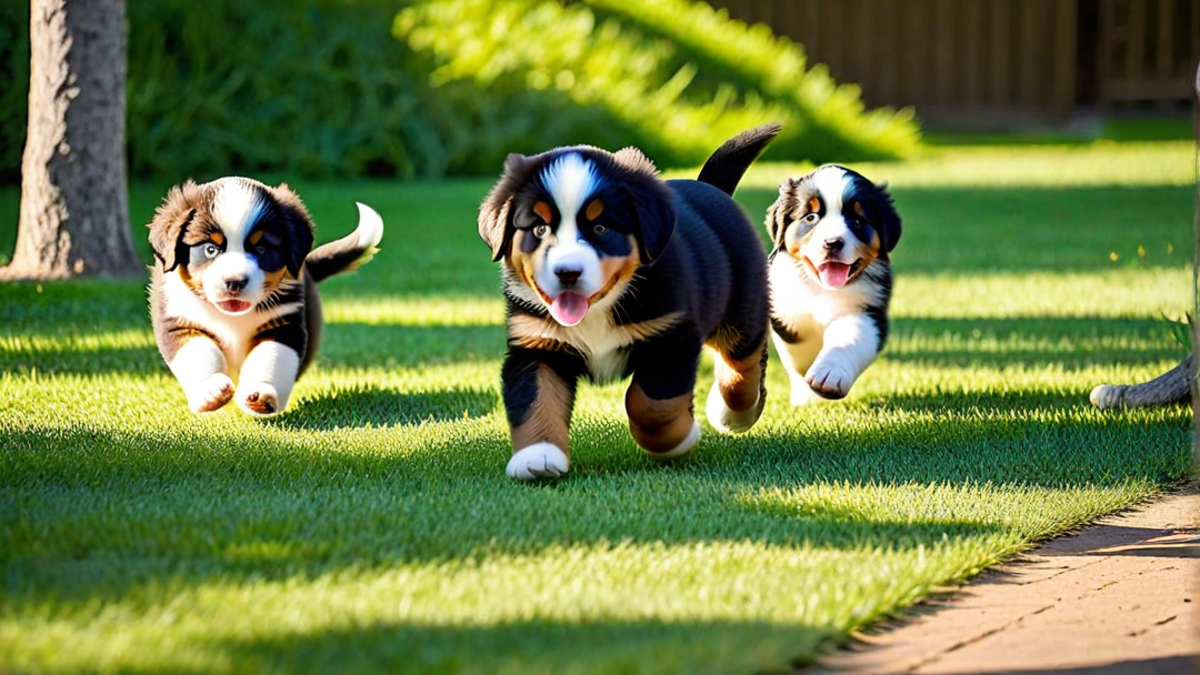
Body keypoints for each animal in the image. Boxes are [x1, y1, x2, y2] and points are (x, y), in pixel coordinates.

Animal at [148, 176, 384, 413]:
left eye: (261, 249)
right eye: (210, 249)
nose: (234, 282)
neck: (233, 319)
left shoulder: (284, 325)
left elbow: (270, 358)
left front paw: (261, 394)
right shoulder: (180, 321)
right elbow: (202, 353)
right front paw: (210, 391)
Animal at [482, 121, 782, 478]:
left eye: (600, 228)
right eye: (539, 229)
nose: (567, 273)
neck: (598, 310)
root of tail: (707, 187)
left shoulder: (672, 336)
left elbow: (649, 404)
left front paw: (675, 440)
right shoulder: (536, 346)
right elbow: (535, 400)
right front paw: (537, 456)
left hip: (741, 307)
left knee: (743, 359)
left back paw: (733, 412)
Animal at [768, 164, 902, 401]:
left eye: (857, 221)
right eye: (810, 217)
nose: (832, 243)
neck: (823, 289)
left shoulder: (867, 310)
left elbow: (849, 338)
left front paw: (828, 374)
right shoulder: (785, 311)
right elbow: (799, 353)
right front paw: (806, 392)